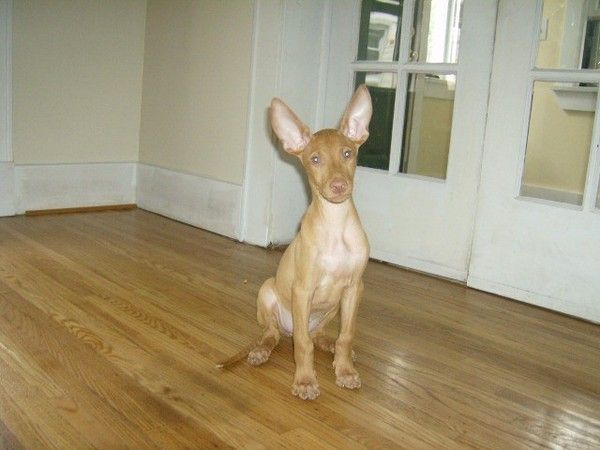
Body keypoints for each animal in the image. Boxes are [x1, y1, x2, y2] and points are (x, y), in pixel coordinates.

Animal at [218, 85, 372, 400]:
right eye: (314, 159)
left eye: (348, 153)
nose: (339, 186)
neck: (336, 224)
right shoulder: (303, 290)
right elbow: (302, 345)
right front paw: (304, 381)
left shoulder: (354, 287)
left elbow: (347, 335)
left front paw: (345, 371)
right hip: (268, 292)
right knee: (276, 334)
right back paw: (260, 351)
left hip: (333, 308)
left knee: (320, 335)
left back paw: (331, 347)